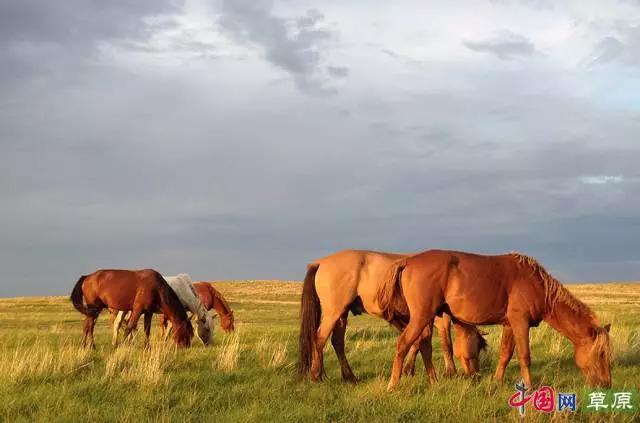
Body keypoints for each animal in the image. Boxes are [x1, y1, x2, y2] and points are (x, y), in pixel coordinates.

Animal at [298, 250, 488, 386]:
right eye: (478, 346)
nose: (476, 376)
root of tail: (320, 262)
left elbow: (417, 344)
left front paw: (408, 370)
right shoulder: (438, 321)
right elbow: (444, 345)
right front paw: (450, 372)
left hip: (341, 314)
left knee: (337, 342)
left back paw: (349, 377)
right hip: (333, 313)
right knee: (319, 339)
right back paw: (316, 375)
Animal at [378, 250, 612, 392]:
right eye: (600, 354)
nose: (607, 385)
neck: (537, 284)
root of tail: (408, 261)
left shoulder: (510, 325)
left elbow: (505, 354)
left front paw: (497, 380)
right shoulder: (520, 323)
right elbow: (524, 356)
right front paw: (529, 387)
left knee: (424, 345)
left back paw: (434, 381)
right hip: (421, 317)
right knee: (403, 345)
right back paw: (393, 385)